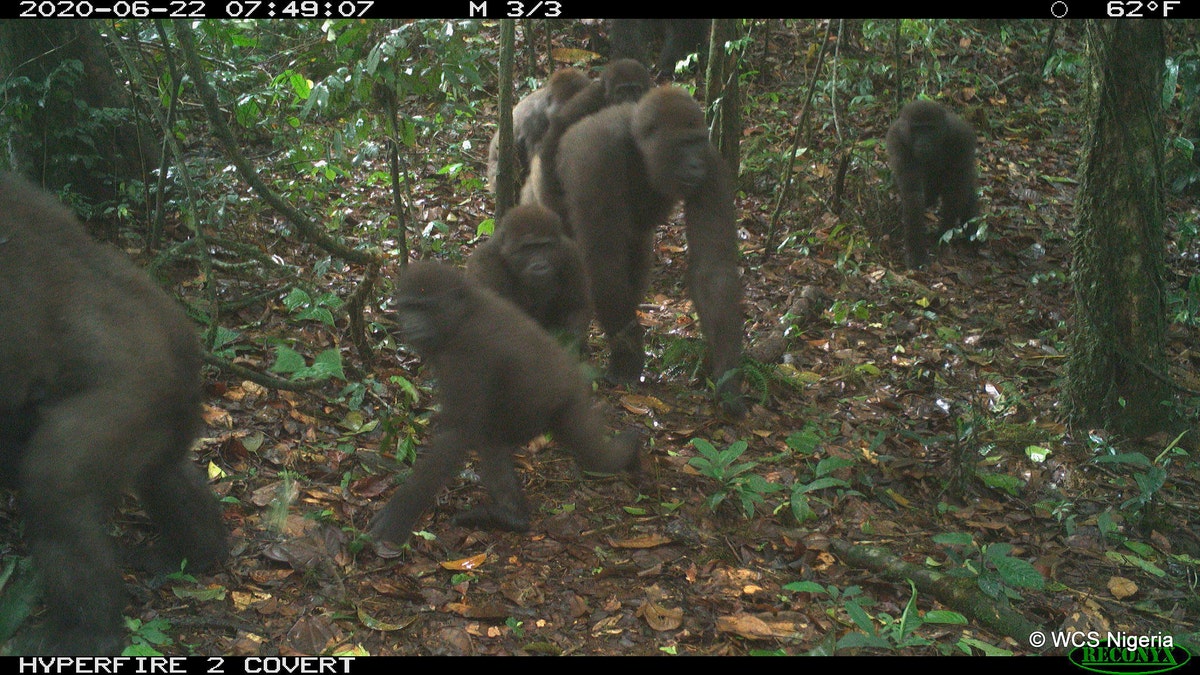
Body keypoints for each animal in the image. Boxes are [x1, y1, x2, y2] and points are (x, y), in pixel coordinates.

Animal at [0, 171, 226, 653]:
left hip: (130, 401)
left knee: (57, 490)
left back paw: (89, 633)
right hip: (170, 408)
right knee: (163, 472)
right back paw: (197, 551)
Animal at [369, 260, 643, 542]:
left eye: (425, 307)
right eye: (410, 306)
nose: (412, 324)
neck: (462, 314)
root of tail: (574, 381)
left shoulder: (468, 354)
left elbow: (457, 434)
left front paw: (398, 514)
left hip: (545, 406)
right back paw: (514, 516)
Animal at [532, 85, 739, 415]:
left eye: (697, 143)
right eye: (684, 144)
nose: (695, 164)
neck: (641, 148)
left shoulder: (713, 165)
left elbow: (713, 269)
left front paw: (728, 378)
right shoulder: (597, 158)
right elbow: (603, 261)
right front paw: (627, 359)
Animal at [888, 99, 979, 267]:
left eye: (930, 129)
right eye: (917, 129)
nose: (923, 142)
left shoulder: (961, 137)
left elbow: (955, 191)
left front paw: (943, 233)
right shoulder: (897, 141)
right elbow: (913, 195)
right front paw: (916, 253)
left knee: (965, 187)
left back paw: (972, 234)